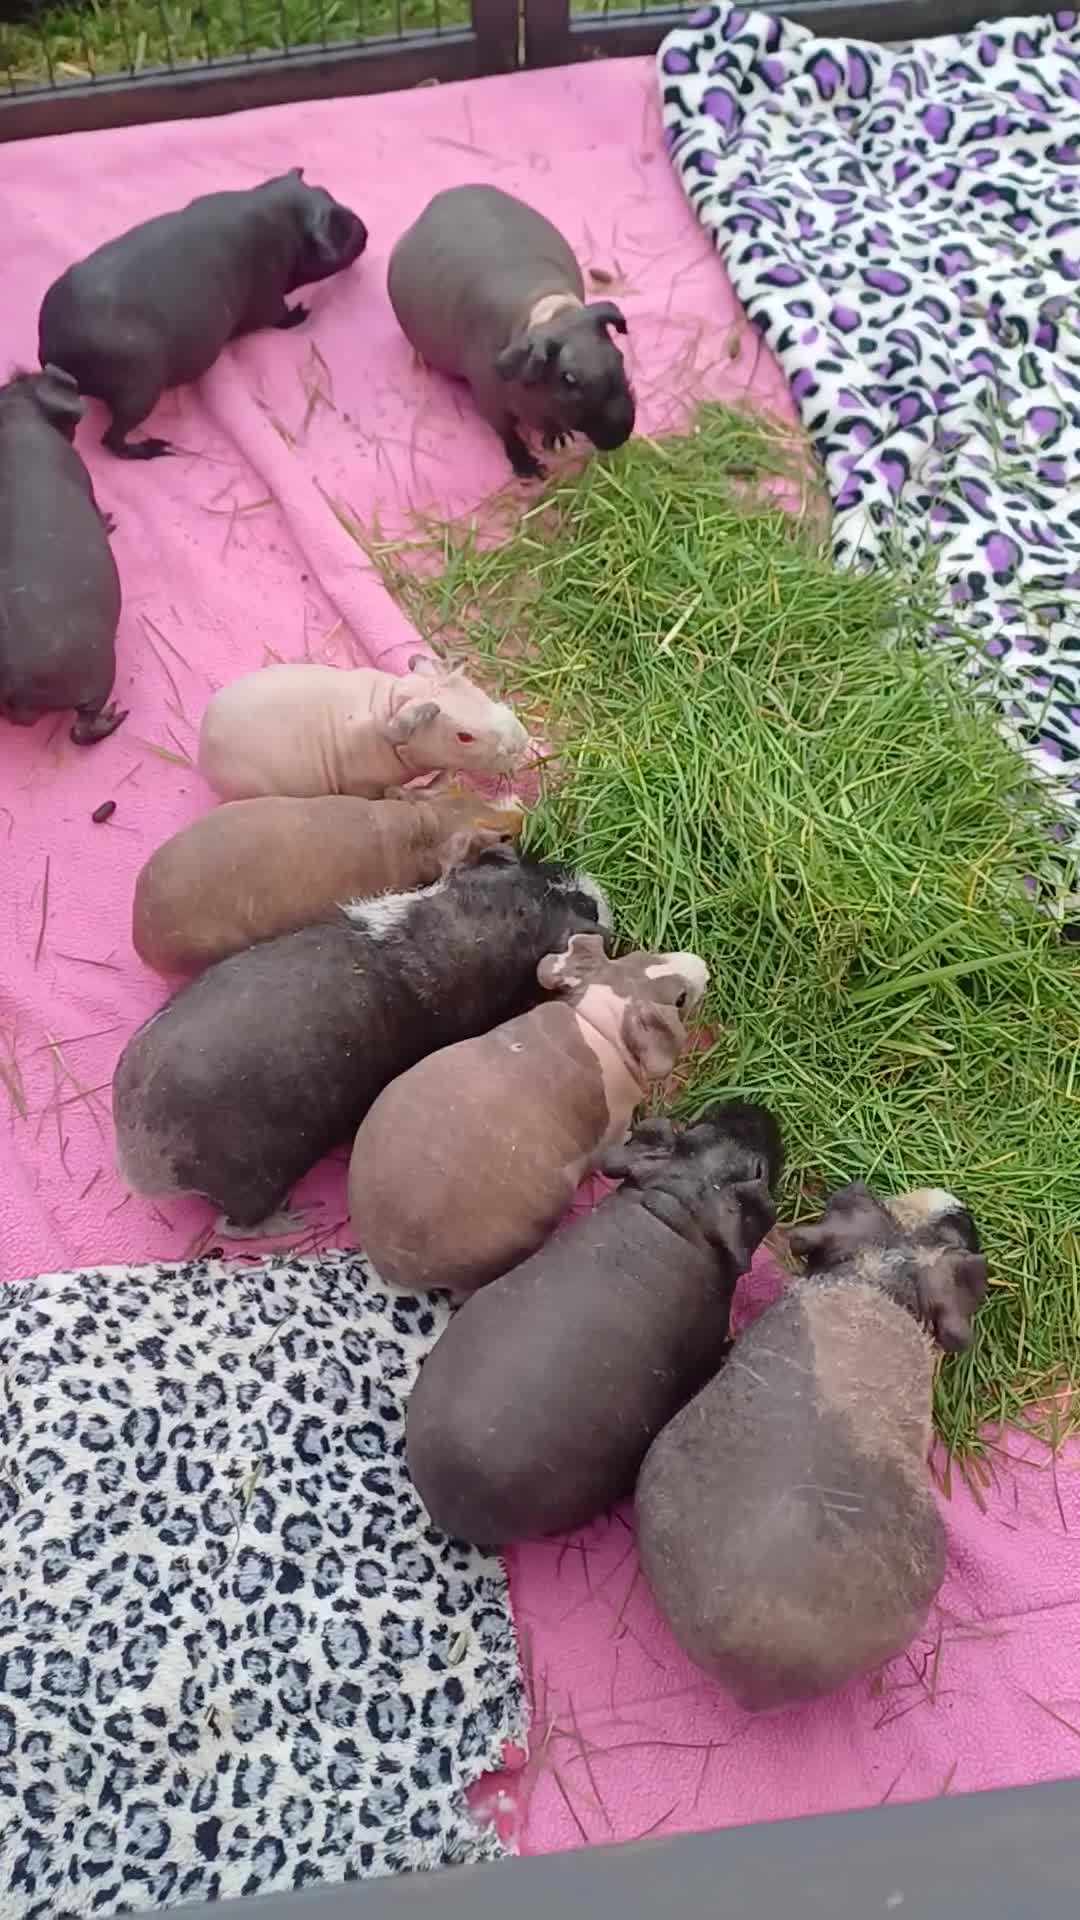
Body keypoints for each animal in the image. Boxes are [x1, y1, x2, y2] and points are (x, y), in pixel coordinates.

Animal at [38, 169, 368, 460]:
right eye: (344, 226)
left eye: (325, 190)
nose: (365, 230)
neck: (284, 221)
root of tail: (55, 352)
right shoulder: (268, 299)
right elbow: (281, 316)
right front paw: (304, 311)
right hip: (141, 393)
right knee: (111, 439)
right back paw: (159, 448)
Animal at [113, 847, 610, 1235]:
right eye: (577, 906)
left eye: (532, 864)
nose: (596, 892)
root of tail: (137, 1160)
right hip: (256, 1184)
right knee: (231, 1226)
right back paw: (298, 1219)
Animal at [387, 185, 635, 482]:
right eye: (568, 378)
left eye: (619, 357)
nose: (620, 435)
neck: (555, 314)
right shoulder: (488, 400)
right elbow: (507, 433)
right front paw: (530, 469)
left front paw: (559, 440)